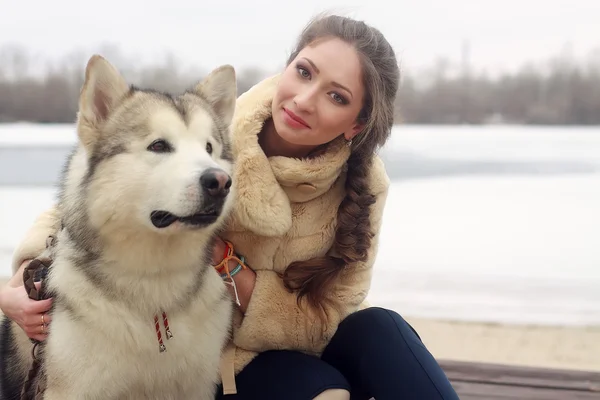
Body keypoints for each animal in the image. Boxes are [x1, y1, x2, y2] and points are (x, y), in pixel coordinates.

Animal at [0, 54, 239, 400]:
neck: (154, 282)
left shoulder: (194, 385)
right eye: (159, 146)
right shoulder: (75, 388)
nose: (220, 182)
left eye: (209, 148)